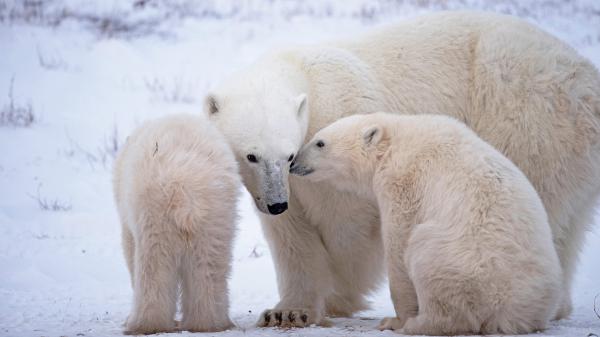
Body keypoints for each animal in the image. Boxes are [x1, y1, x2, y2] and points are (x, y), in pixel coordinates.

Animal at [206, 11, 600, 326]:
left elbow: (349, 226)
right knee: (567, 225)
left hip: (527, 117)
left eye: (287, 155)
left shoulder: (340, 133)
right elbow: (291, 235)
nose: (276, 203)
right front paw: (288, 311)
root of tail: (589, 81)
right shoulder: (279, 186)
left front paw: (339, 295)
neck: (306, 76)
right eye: (251, 156)